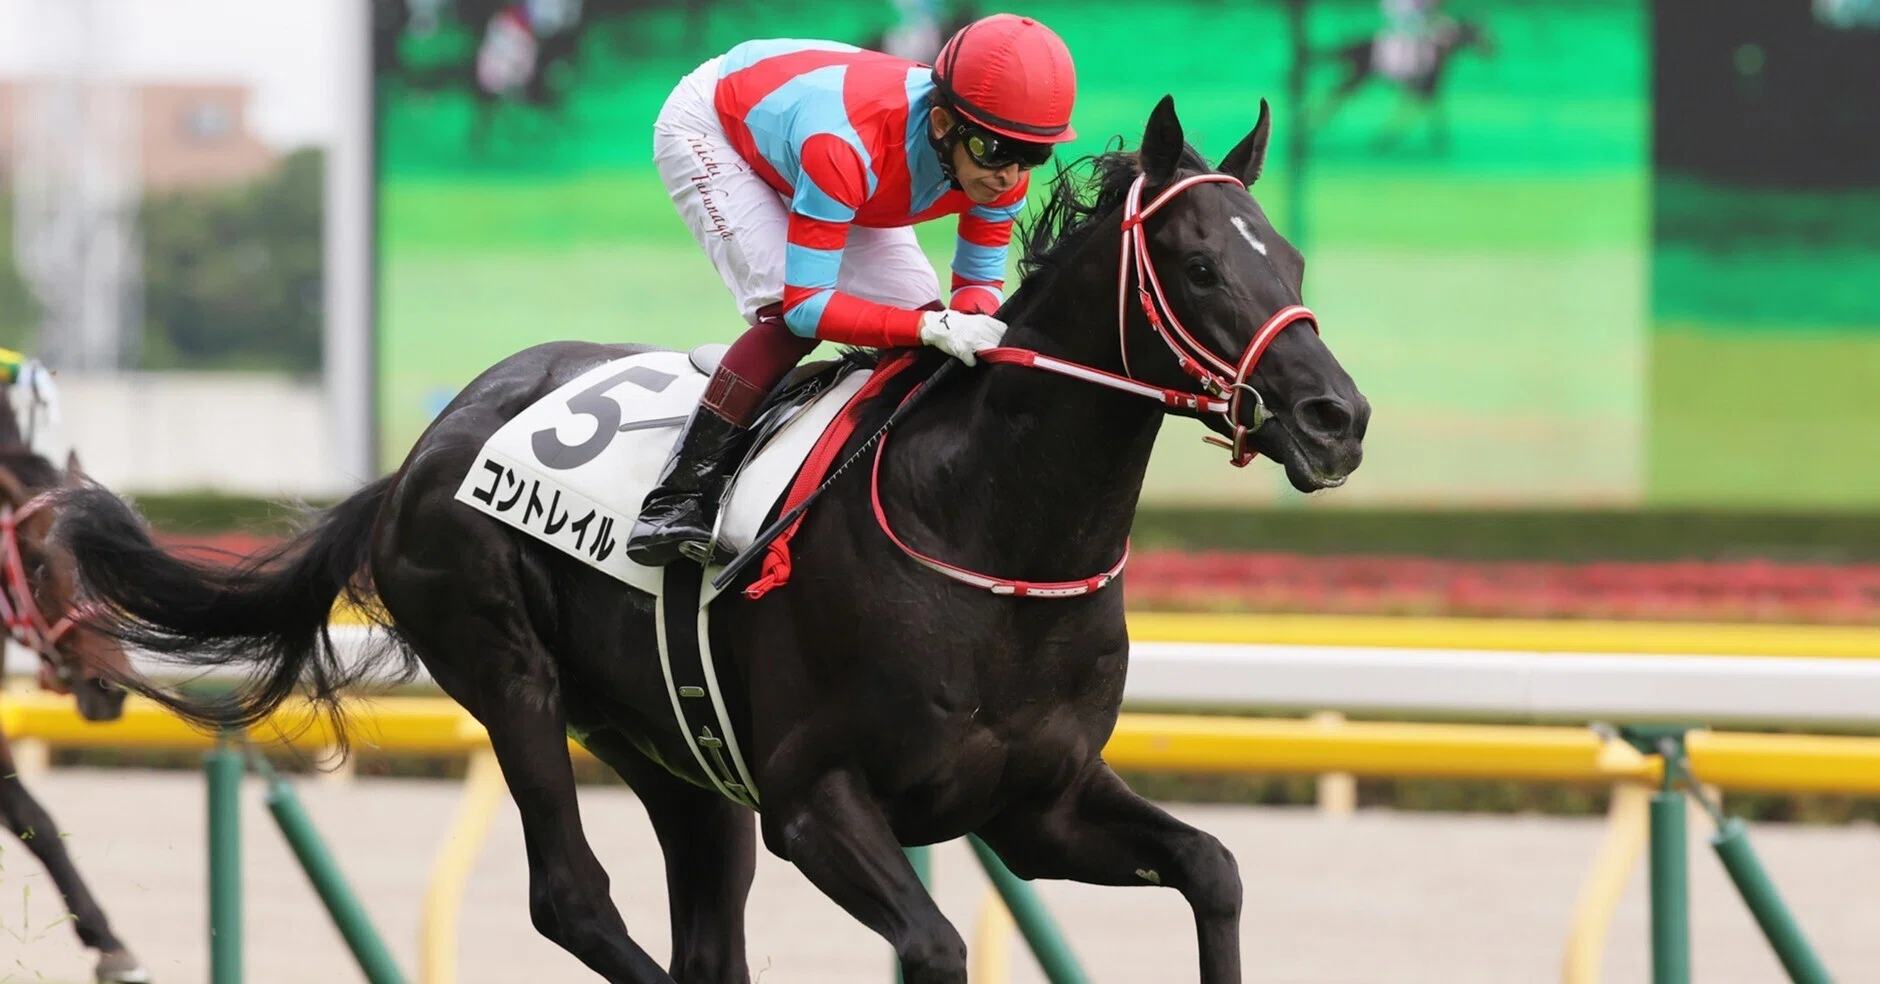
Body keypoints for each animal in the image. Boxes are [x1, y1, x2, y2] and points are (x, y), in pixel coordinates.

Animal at [55, 95, 1368, 984]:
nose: (1335, 418)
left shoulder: (1033, 807)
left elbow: (1212, 867)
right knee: (572, 898)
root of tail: (421, 453)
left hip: (669, 750)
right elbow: (937, 945)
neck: (993, 538)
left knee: (696, 922)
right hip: (510, 675)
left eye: (1293, 258)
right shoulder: (816, 802)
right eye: (1197, 264)